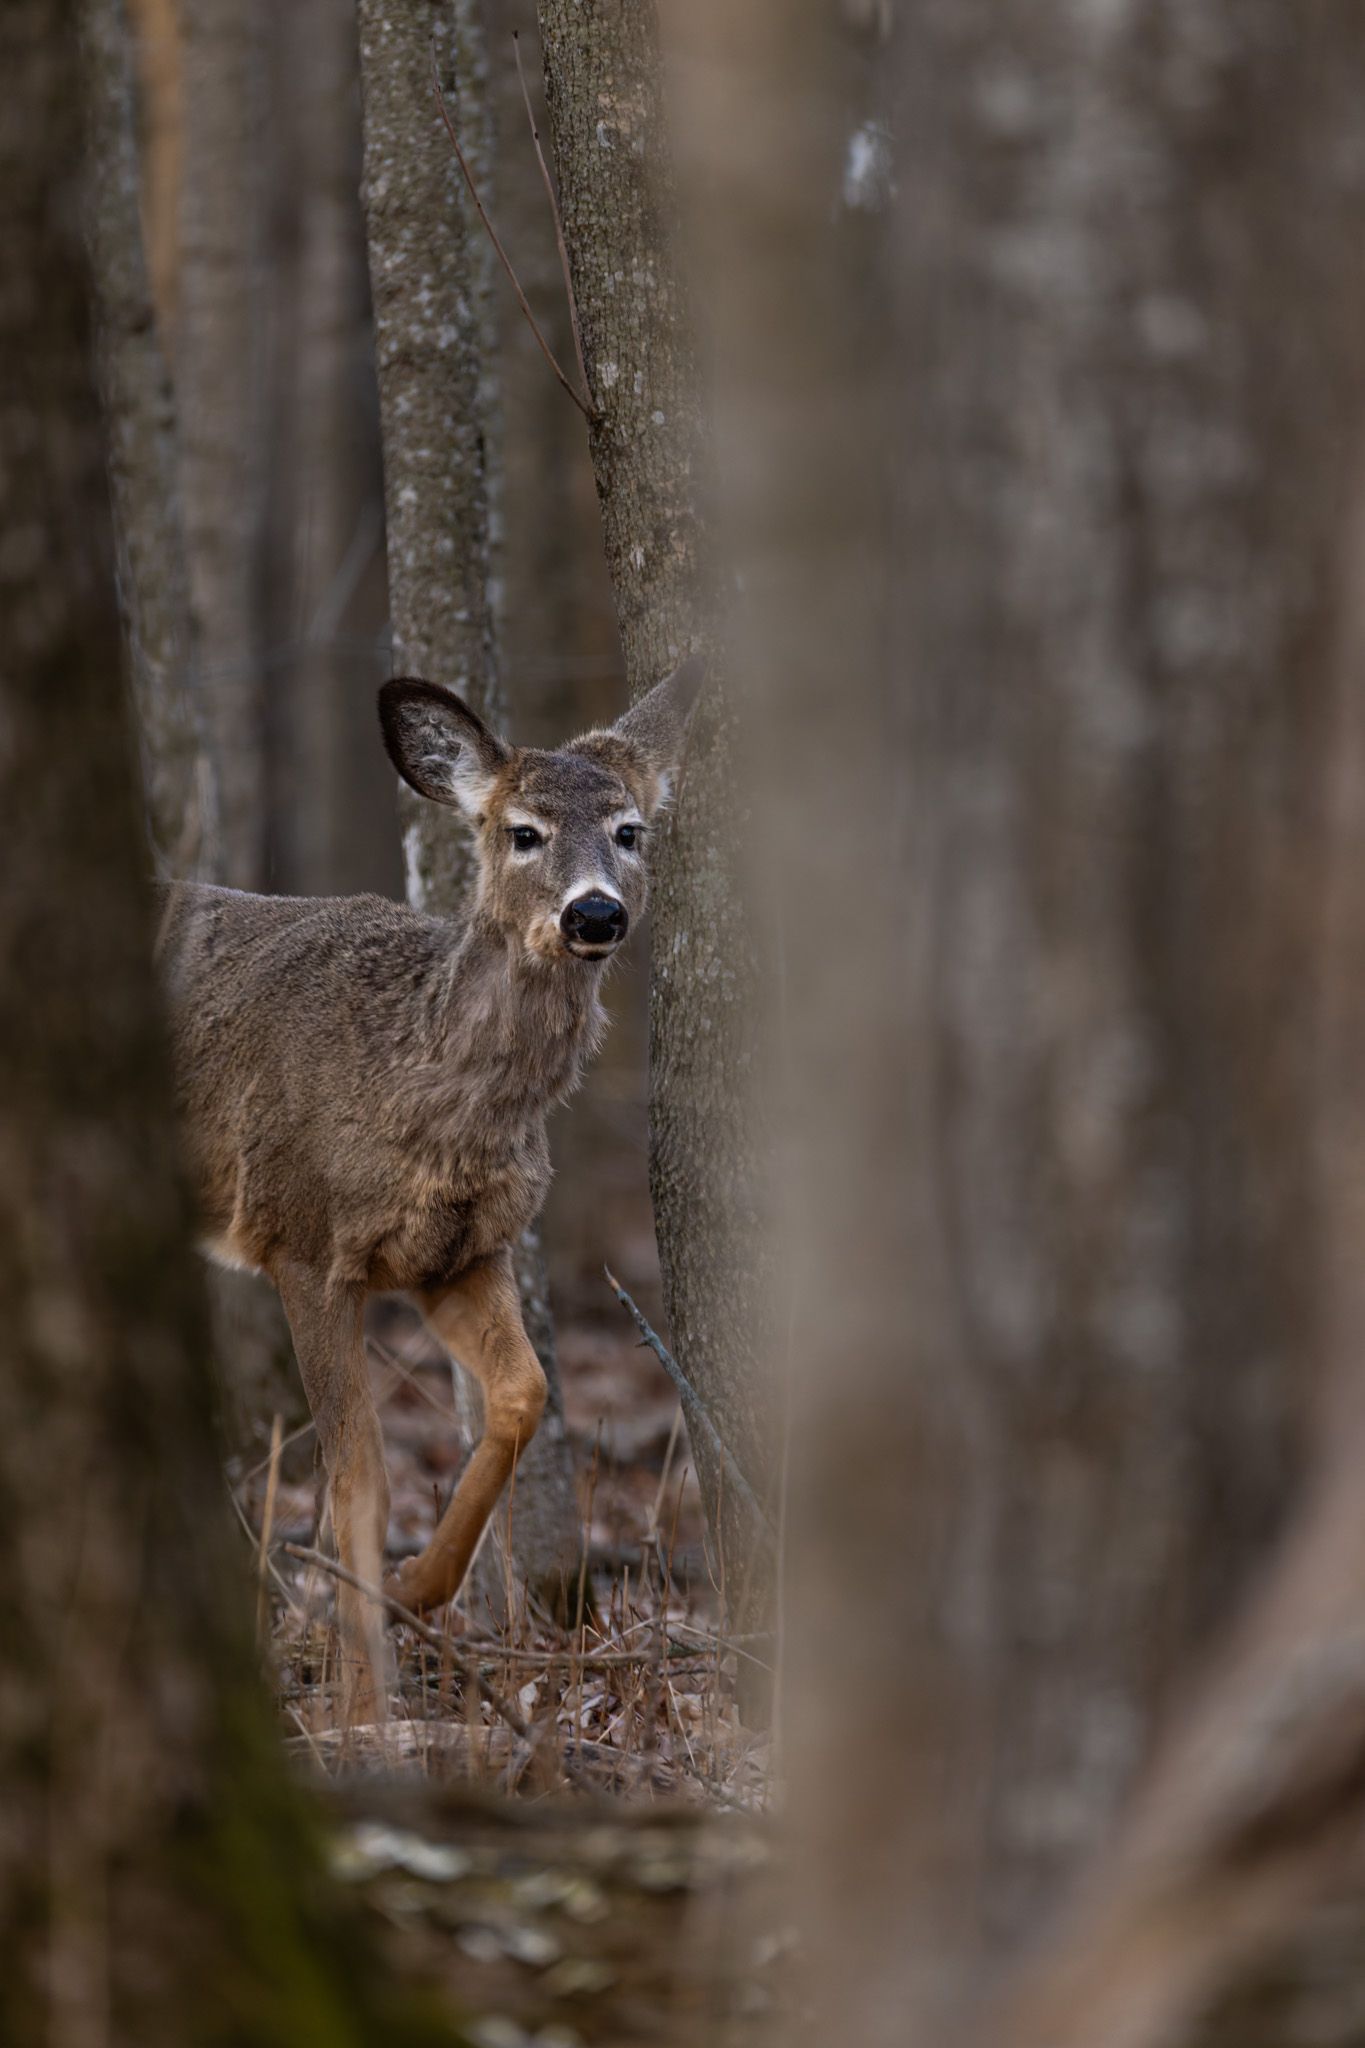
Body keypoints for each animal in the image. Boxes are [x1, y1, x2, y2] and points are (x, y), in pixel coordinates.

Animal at [157, 654, 703, 1721]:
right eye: (522, 831)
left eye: (629, 830)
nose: (594, 913)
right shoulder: (302, 1237)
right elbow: (358, 1477)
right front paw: (365, 1703)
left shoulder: (459, 1255)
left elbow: (523, 1395)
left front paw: (409, 1591)